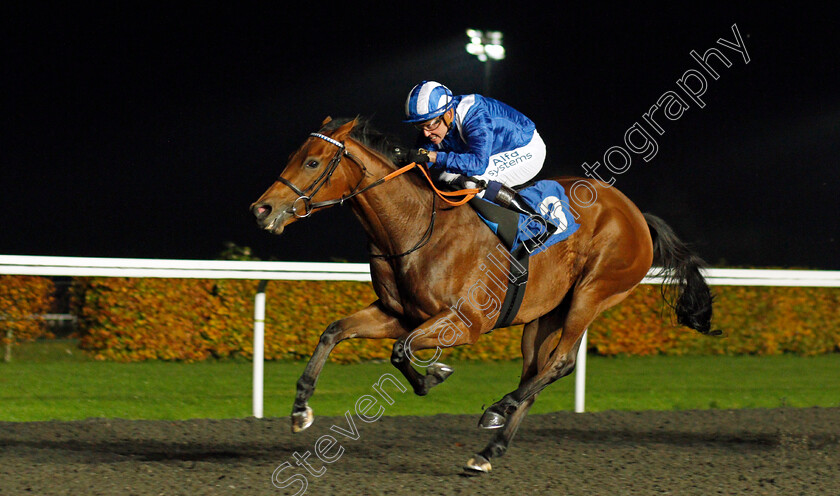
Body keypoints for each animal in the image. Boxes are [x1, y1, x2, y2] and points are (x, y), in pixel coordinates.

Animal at [251, 116, 720, 472]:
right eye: (294, 157)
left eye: (313, 161)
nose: (262, 209)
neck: (415, 225)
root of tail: (636, 214)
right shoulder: (397, 314)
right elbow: (335, 332)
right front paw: (300, 410)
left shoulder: (466, 323)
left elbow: (402, 351)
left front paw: (435, 375)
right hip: (543, 315)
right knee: (535, 372)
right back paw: (490, 449)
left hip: (592, 294)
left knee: (560, 364)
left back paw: (498, 407)